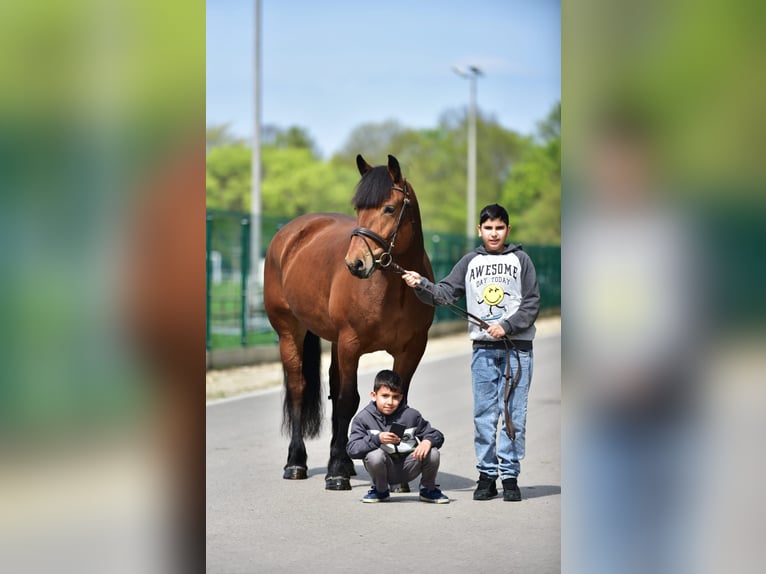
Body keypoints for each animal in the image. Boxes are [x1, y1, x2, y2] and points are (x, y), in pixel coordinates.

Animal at [263, 154, 435, 490]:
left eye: (389, 208)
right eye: (358, 209)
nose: (355, 264)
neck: (393, 288)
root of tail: (290, 234)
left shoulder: (412, 349)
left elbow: (399, 401)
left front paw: (396, 478)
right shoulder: (351, 345)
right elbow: (347, 400)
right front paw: (336, 473)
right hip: (290, 333)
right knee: (299, 388)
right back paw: (296, 463)